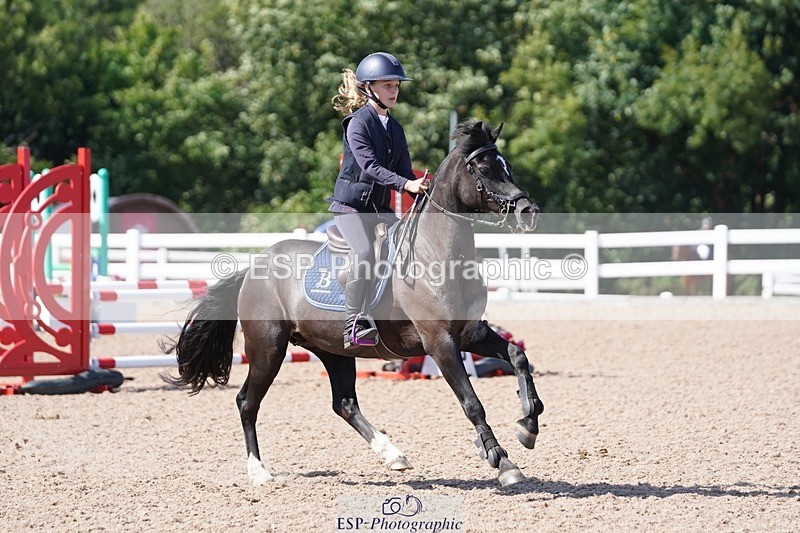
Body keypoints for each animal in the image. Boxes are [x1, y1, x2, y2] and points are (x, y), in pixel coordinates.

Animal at [163, 119, 544, 487]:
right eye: (484, 168)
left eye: (506, 167)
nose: (529, 210)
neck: (435, 252)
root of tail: (254, 267)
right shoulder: (440, 343)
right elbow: (472, 403)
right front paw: (502, 462)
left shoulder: (470, 334)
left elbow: (517, 356)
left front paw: (528, 424)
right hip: (268, 349)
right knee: (247, 402)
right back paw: (259, 472)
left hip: (333, 349)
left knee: (344, 404)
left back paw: (393, 455)